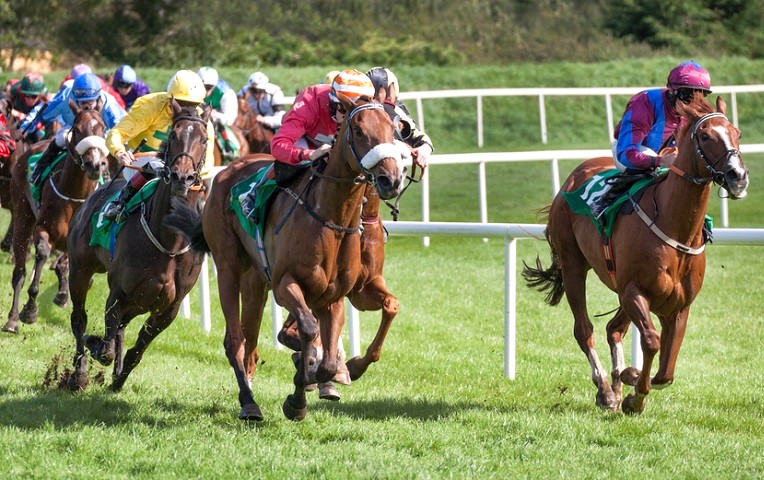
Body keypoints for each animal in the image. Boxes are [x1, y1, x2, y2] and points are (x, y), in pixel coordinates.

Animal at [1, 101, 109, 334]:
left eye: (103, 129)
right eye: (77, 130)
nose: (95, 165)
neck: (74, 198)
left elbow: (67, 266)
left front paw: (63, 294)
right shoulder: (43, 229)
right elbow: (42, 254)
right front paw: (29, 310)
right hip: (22, 215)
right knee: (19, 272)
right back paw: (12, 320)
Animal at [64, 98, 209, 394]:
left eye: (204, 138)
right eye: (174, 135)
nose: (182, 177)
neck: (168, 242)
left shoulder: (167, 309)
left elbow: (137, 350)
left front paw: (118, 379)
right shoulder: (118, 293)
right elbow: (105, 346)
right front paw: (96, 346)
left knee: (120, 328)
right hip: (80, 270)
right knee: (79, 319)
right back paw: (80, 374)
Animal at [172, 96, 408, 420]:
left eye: (393, 129)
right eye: (358, 131)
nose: (390, 179)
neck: (330, 216)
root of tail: (226, 171)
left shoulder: (337, 296)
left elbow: (331, 358)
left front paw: (335, 372)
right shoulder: (286, 284)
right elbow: (309, 330)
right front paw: (299, 393)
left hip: (256, 281)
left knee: (251, 343)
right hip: (229, 267)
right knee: (235, 340)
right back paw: (249, 402)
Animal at [524, 93, 748, 412]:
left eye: (737, 133)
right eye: (705, 136)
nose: (738, 176)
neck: (673, 224)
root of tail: (575, 174)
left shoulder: (678, 305)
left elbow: (666, 371)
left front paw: (630, 382)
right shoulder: (634, 291)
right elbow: (652, 342)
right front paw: (634, 391)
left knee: (613, 328)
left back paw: (616, 385)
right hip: (573, 265)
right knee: (584, 329)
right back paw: (606, 389)